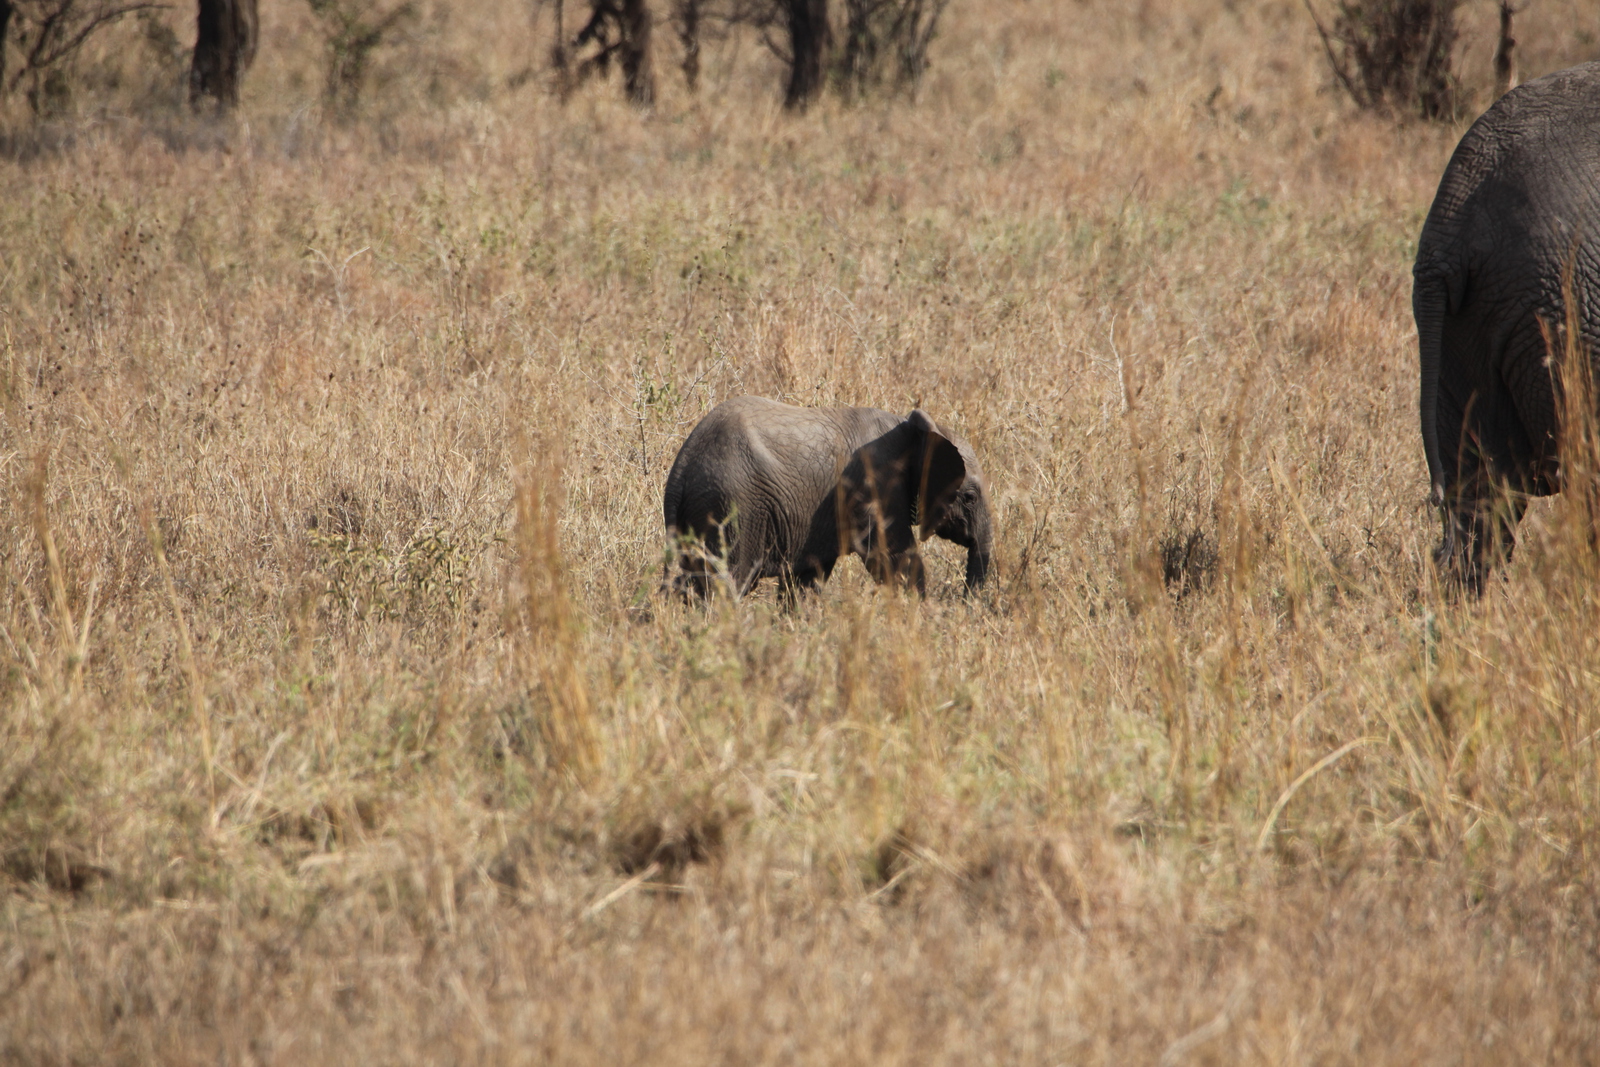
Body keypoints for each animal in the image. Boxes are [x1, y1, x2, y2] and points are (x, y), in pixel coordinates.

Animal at [659, 395, 985, 598]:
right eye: (969, 497)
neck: (915, 431)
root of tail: (681, 468)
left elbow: (807, 577)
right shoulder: (876, 488)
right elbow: (895, 558)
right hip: (734, 507)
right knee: (727, 581)